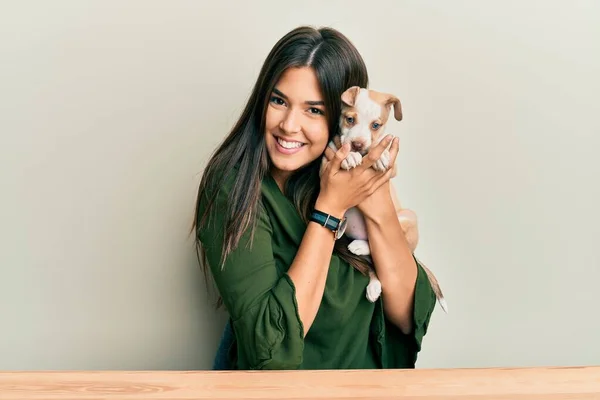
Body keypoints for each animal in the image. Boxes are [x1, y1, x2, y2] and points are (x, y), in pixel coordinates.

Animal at [324, 86, 446, 312]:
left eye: (376, 125)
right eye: (349, 119)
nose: (357, 144)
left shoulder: (393, 167)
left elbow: (380, 147)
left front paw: (379, 156)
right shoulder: (325, 166)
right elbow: (340, 150)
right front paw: (349, 156)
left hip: (407, 218)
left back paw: (361, 247)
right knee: (372, 264)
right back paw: (373, 286)